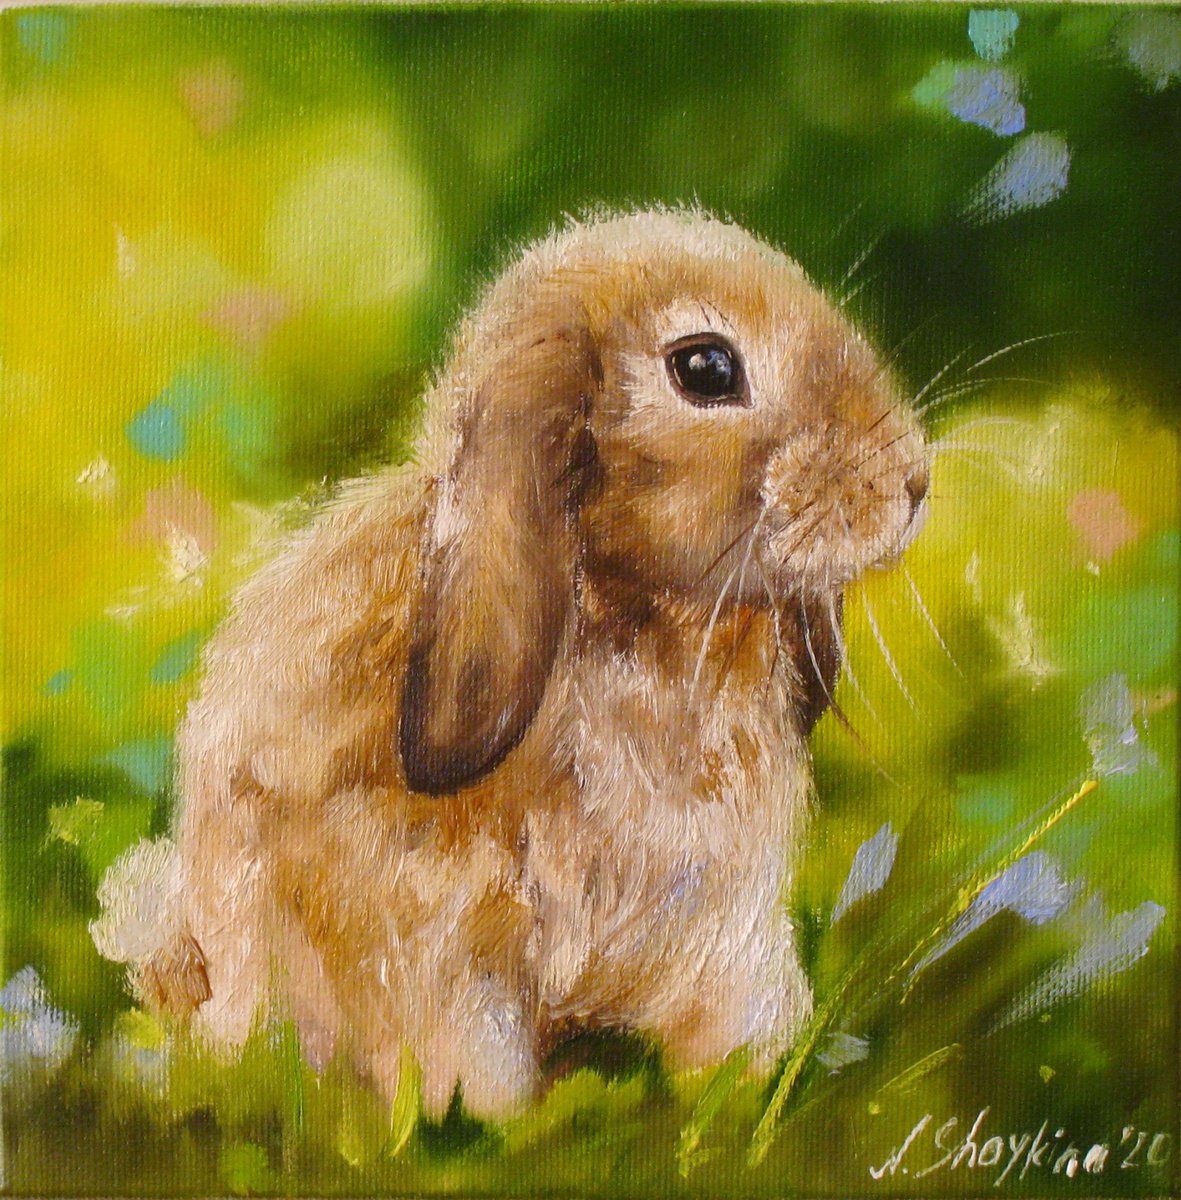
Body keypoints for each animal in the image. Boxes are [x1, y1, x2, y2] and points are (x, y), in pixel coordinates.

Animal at [97, 209, 928, 1120]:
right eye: (706, 369)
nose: (913, 482)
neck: (643, 631)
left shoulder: (721, 933)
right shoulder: (436, 955)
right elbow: (471, 1074)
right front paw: (482, 1124)